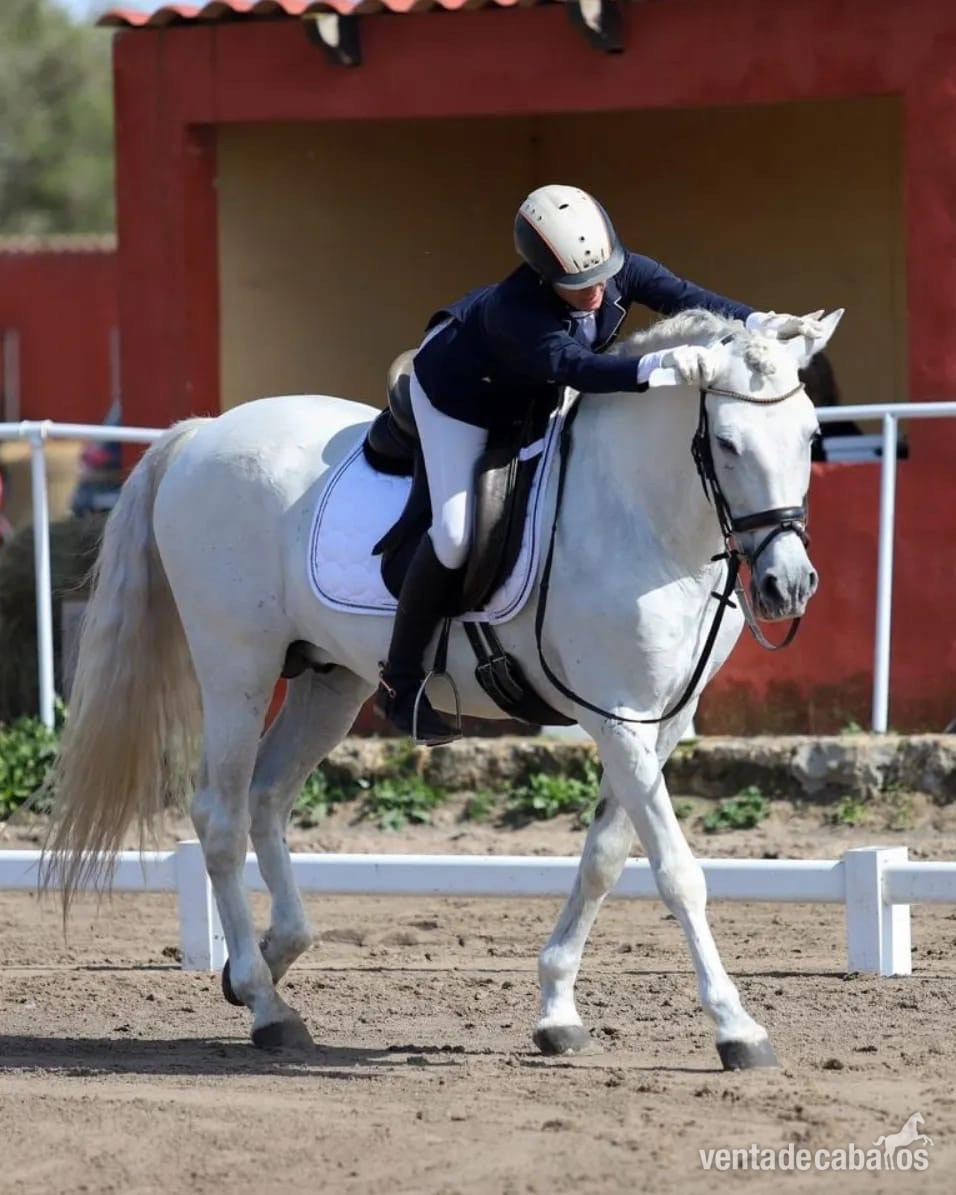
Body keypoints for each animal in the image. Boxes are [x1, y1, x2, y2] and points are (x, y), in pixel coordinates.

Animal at [45, 305, 842, 1069]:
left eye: (809, 435)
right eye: (729, 444)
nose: (790, 586)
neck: (644, 518)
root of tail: (204, 432)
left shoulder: (661, 723)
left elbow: (604, 858)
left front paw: (557, 1012)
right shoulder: (618, 719)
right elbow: (676, 871)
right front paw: (737, 1028)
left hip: (330, 679)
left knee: (268, 798)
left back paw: (272, 960)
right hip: (236, 667)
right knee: (220, 815)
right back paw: (266, 1002)